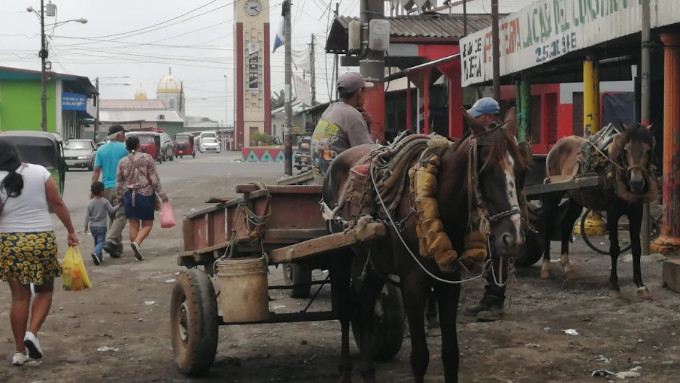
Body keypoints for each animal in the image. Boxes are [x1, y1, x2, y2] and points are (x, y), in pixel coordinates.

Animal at [322, 109, 532, 382]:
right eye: (485, 169)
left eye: (522, 171)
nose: (513, 238)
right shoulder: (412, 284)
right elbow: (420, 358)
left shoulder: (450, 280)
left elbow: (451, 354)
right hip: (339, 254)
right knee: (347, 309)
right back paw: (346, 368)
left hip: (375, 263)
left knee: (364, 307)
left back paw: (368, 370)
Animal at [540, 121, 656, 298]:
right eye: (626, 150)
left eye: (648, 150)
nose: (637, 182)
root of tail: (559, 142)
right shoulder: (613, 213)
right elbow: (614, 248)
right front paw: (614, 286)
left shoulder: (637, 212)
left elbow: (636, 247)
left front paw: (640, 285)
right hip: (554, 193)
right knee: (548, 223)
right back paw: (546, 267)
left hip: (576, 198)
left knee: (566, 224)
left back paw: (567, 266)